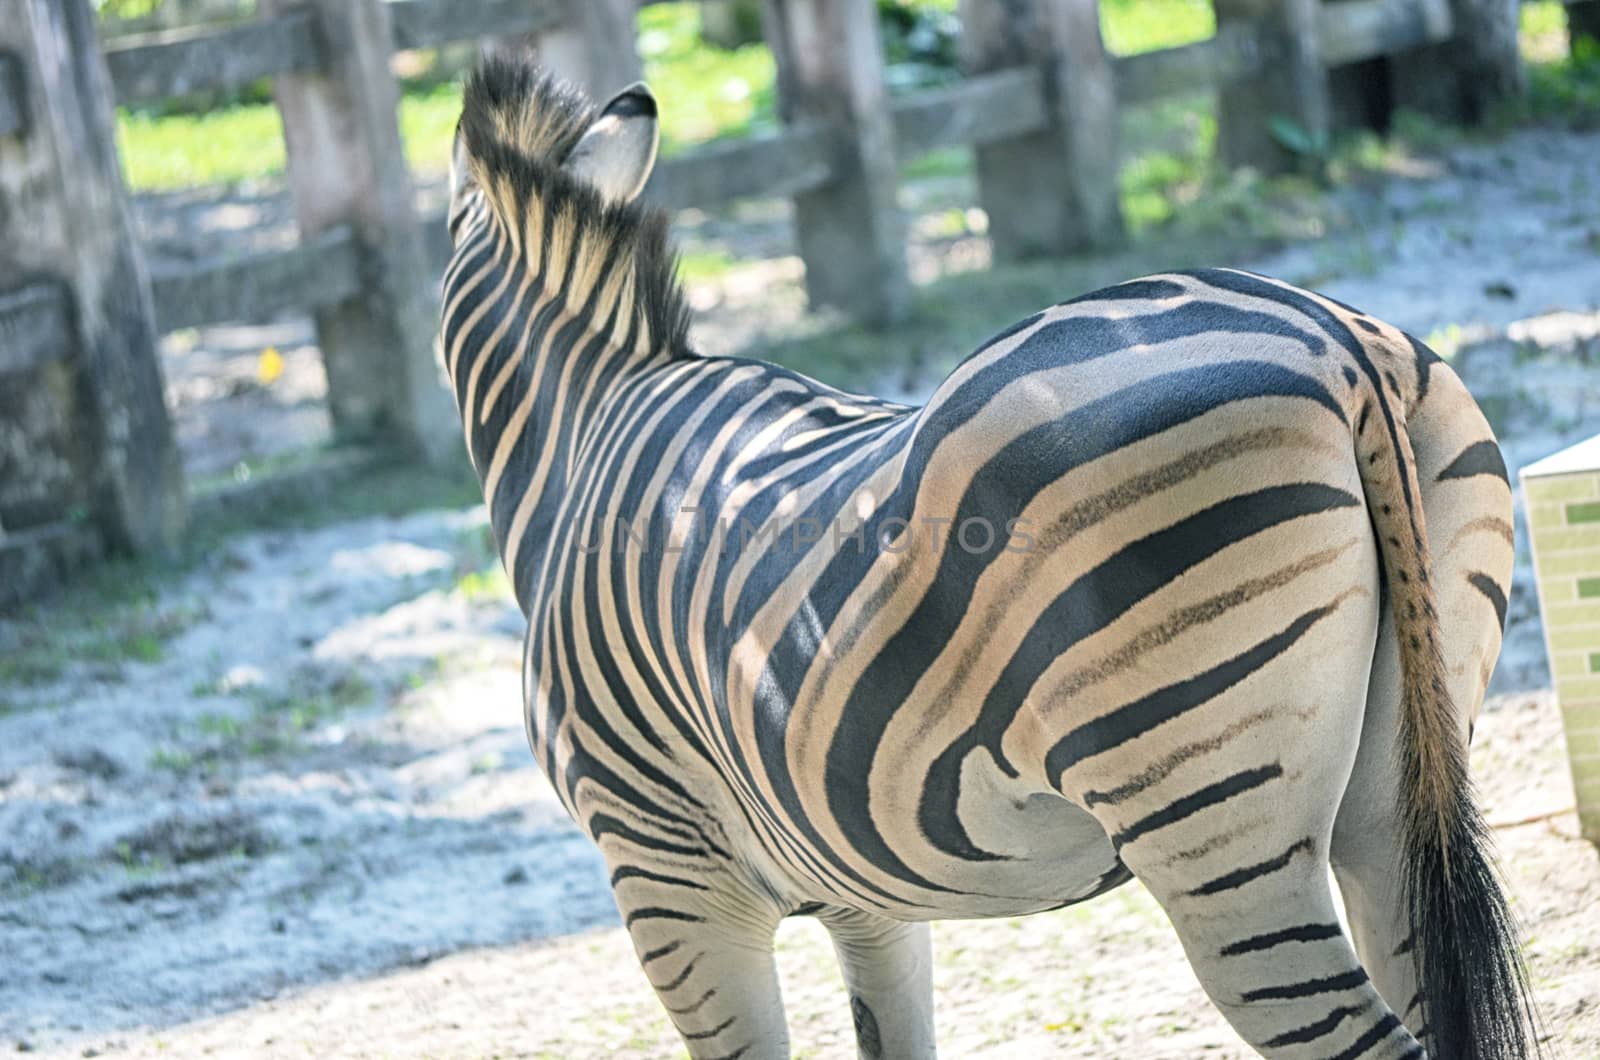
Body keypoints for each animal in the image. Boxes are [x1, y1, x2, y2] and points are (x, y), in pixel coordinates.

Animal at [438, 58, 1536, 1060]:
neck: (588, 428)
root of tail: (1328, 343)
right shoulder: (865, 901)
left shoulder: (672, 884)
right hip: (1396, 791)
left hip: (1215, 829)